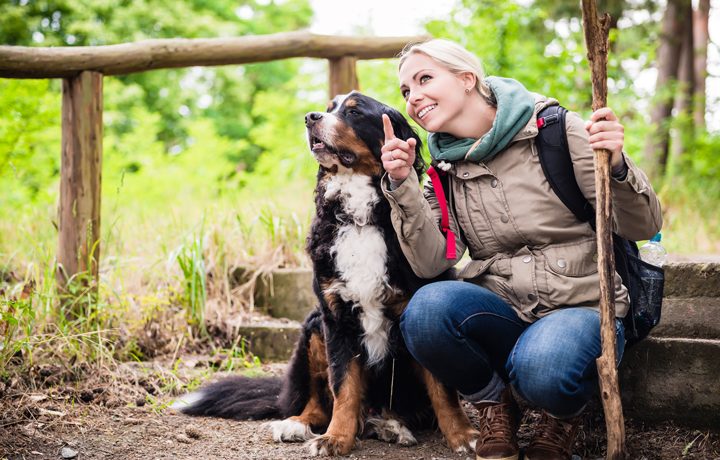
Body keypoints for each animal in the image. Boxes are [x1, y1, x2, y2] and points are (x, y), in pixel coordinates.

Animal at [174, 92, 478, 456]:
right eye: (330, 107)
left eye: (354, 112)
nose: (310, 117)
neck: (360, 218)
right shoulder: (336, 318)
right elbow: (343, 388)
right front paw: (336, 438)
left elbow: (443, 391)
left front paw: (463, 436)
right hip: (313, 327)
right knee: (319, 403)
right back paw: (297, 423)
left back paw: (390, 425)